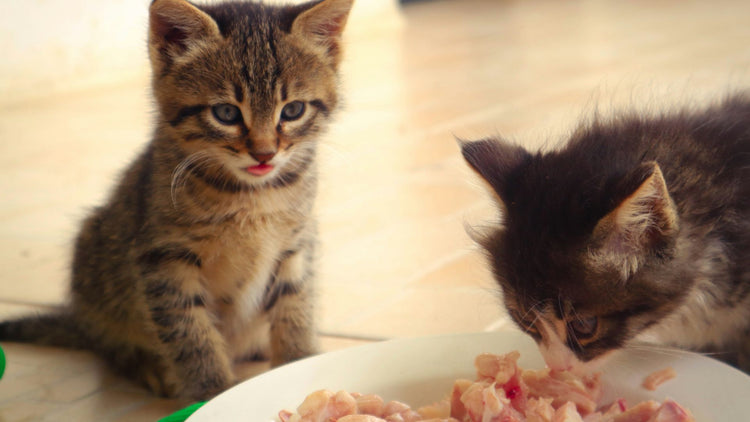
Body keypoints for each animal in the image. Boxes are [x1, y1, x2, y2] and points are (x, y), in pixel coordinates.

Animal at [0, 0, 356, 400]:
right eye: (226, 113)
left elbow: (295, 306)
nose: (264, 154)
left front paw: (299, 361)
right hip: (93, 253)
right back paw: (148, 366)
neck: (253, 195)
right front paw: (213, 392)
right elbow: (190, 330)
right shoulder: (164, 258)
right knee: (109, 344)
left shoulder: (295, 243)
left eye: (293, 110)